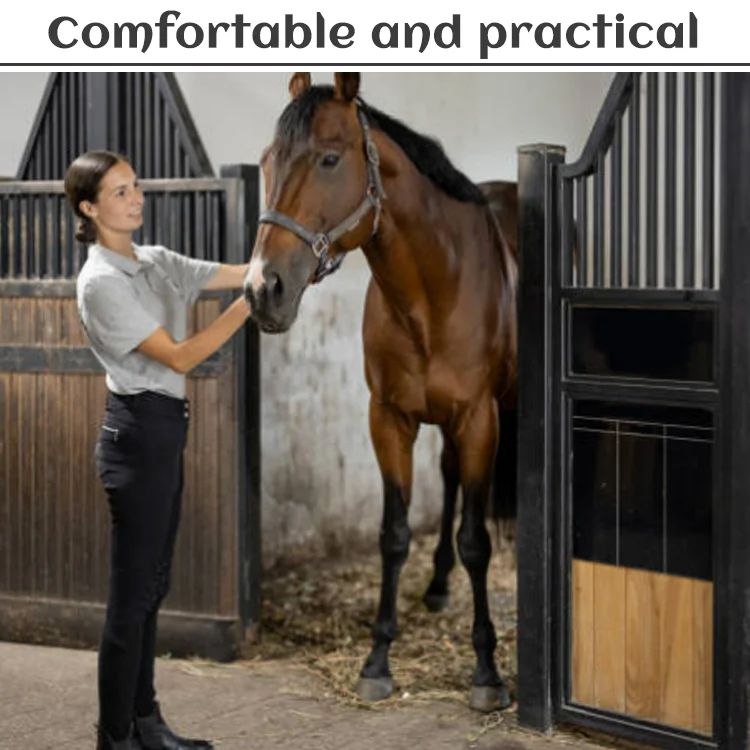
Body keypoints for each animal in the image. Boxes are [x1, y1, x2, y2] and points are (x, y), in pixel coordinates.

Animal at [244, 72, 518, 713]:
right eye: (266, 160)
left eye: (328, 159)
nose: (263, 289)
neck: (434, 291)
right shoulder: (388, 419)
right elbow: (393, 535)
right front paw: (377, 660)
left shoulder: (480, 419)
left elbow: (476, 540)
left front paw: (487, 673)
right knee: (446, 479)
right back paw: (437, 585)